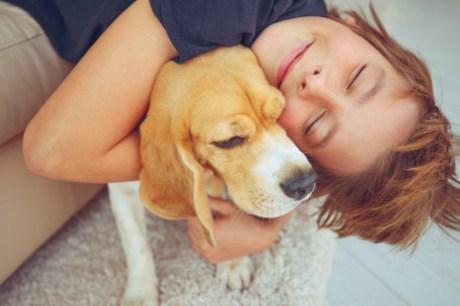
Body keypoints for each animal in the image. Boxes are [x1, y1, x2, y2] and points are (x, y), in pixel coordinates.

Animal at [108, 44, 316, 304]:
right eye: (229, 141)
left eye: (279, 113)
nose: (306, 183)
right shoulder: (121, 190)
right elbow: (135, 242)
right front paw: (140, 293)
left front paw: (232, 262)